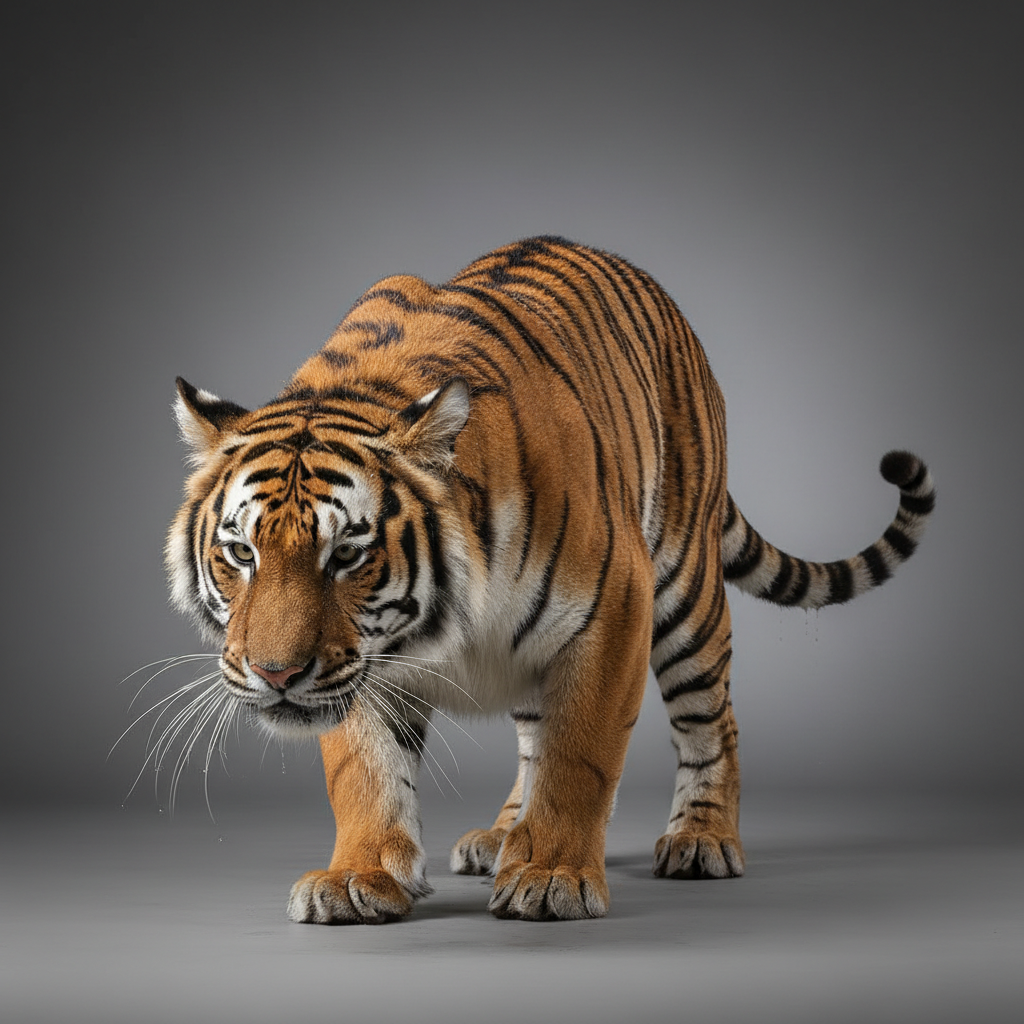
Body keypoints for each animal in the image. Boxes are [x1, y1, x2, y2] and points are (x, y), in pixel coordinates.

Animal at [166, 236, 934, 923]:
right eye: (241, 553)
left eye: (347, 556)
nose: (276, 674)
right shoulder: (364, 663)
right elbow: (366, 769)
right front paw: (359, 877)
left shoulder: (615, 608)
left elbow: (580, 754)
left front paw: (550, 876)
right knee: (535, 734)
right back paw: (505, 835)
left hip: (686, 595)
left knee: (711, 719)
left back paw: (701, 838)